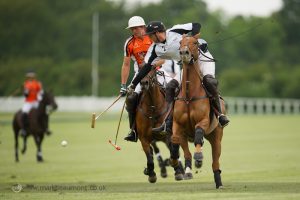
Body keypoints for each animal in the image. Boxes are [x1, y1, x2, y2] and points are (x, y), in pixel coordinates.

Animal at [171, 34, 225, 189]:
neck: (189, 96)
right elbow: (175, 140)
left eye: (195, 42)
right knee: (187, 151)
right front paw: (176, 161)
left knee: (215, 160)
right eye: (180, 42)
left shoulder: (203, 121)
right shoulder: (177, 124)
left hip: (216, 136)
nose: (184, 53)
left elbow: (198, 134)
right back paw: (188, 170)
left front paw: (199, 158)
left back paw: (218, 182)